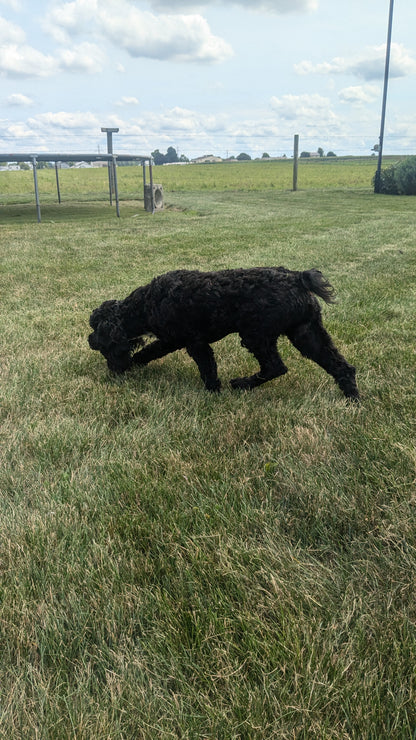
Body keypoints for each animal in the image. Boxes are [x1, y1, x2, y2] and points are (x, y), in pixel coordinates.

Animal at [87, 268, 358, 398]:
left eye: (104, 346)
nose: (113, 371)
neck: (145, 304)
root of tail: (298, 278)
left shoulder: (190, 341)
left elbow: (204, 367)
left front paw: (213, 391)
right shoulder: (177, 340)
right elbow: (151, 351)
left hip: (255, 335)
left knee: (275, 367)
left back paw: (242, 384)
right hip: (306, 333)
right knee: (342, 367)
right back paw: (352, 398)